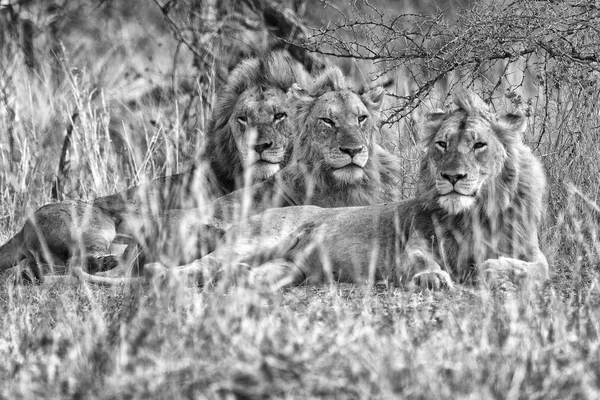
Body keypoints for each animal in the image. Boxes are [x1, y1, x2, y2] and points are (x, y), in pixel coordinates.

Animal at [0, 52, 300, 282]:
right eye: (242, 119)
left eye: (279, 115)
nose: (258, 146)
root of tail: (24, 226)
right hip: (95, 225)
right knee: (80, 261)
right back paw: (107, 262)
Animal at [144, 90, 548, 290]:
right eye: (442, 145)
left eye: (479, 145)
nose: (452, 177)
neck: (475, 212)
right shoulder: (412, 246)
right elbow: (423, 262)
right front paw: (434, 278)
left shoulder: (531, 250)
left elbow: (539, 269)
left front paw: (493, 269)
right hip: (255, 239)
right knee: (200, 265)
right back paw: (159, 275)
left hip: (288, 269)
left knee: (236, 273)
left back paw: (240, 279)